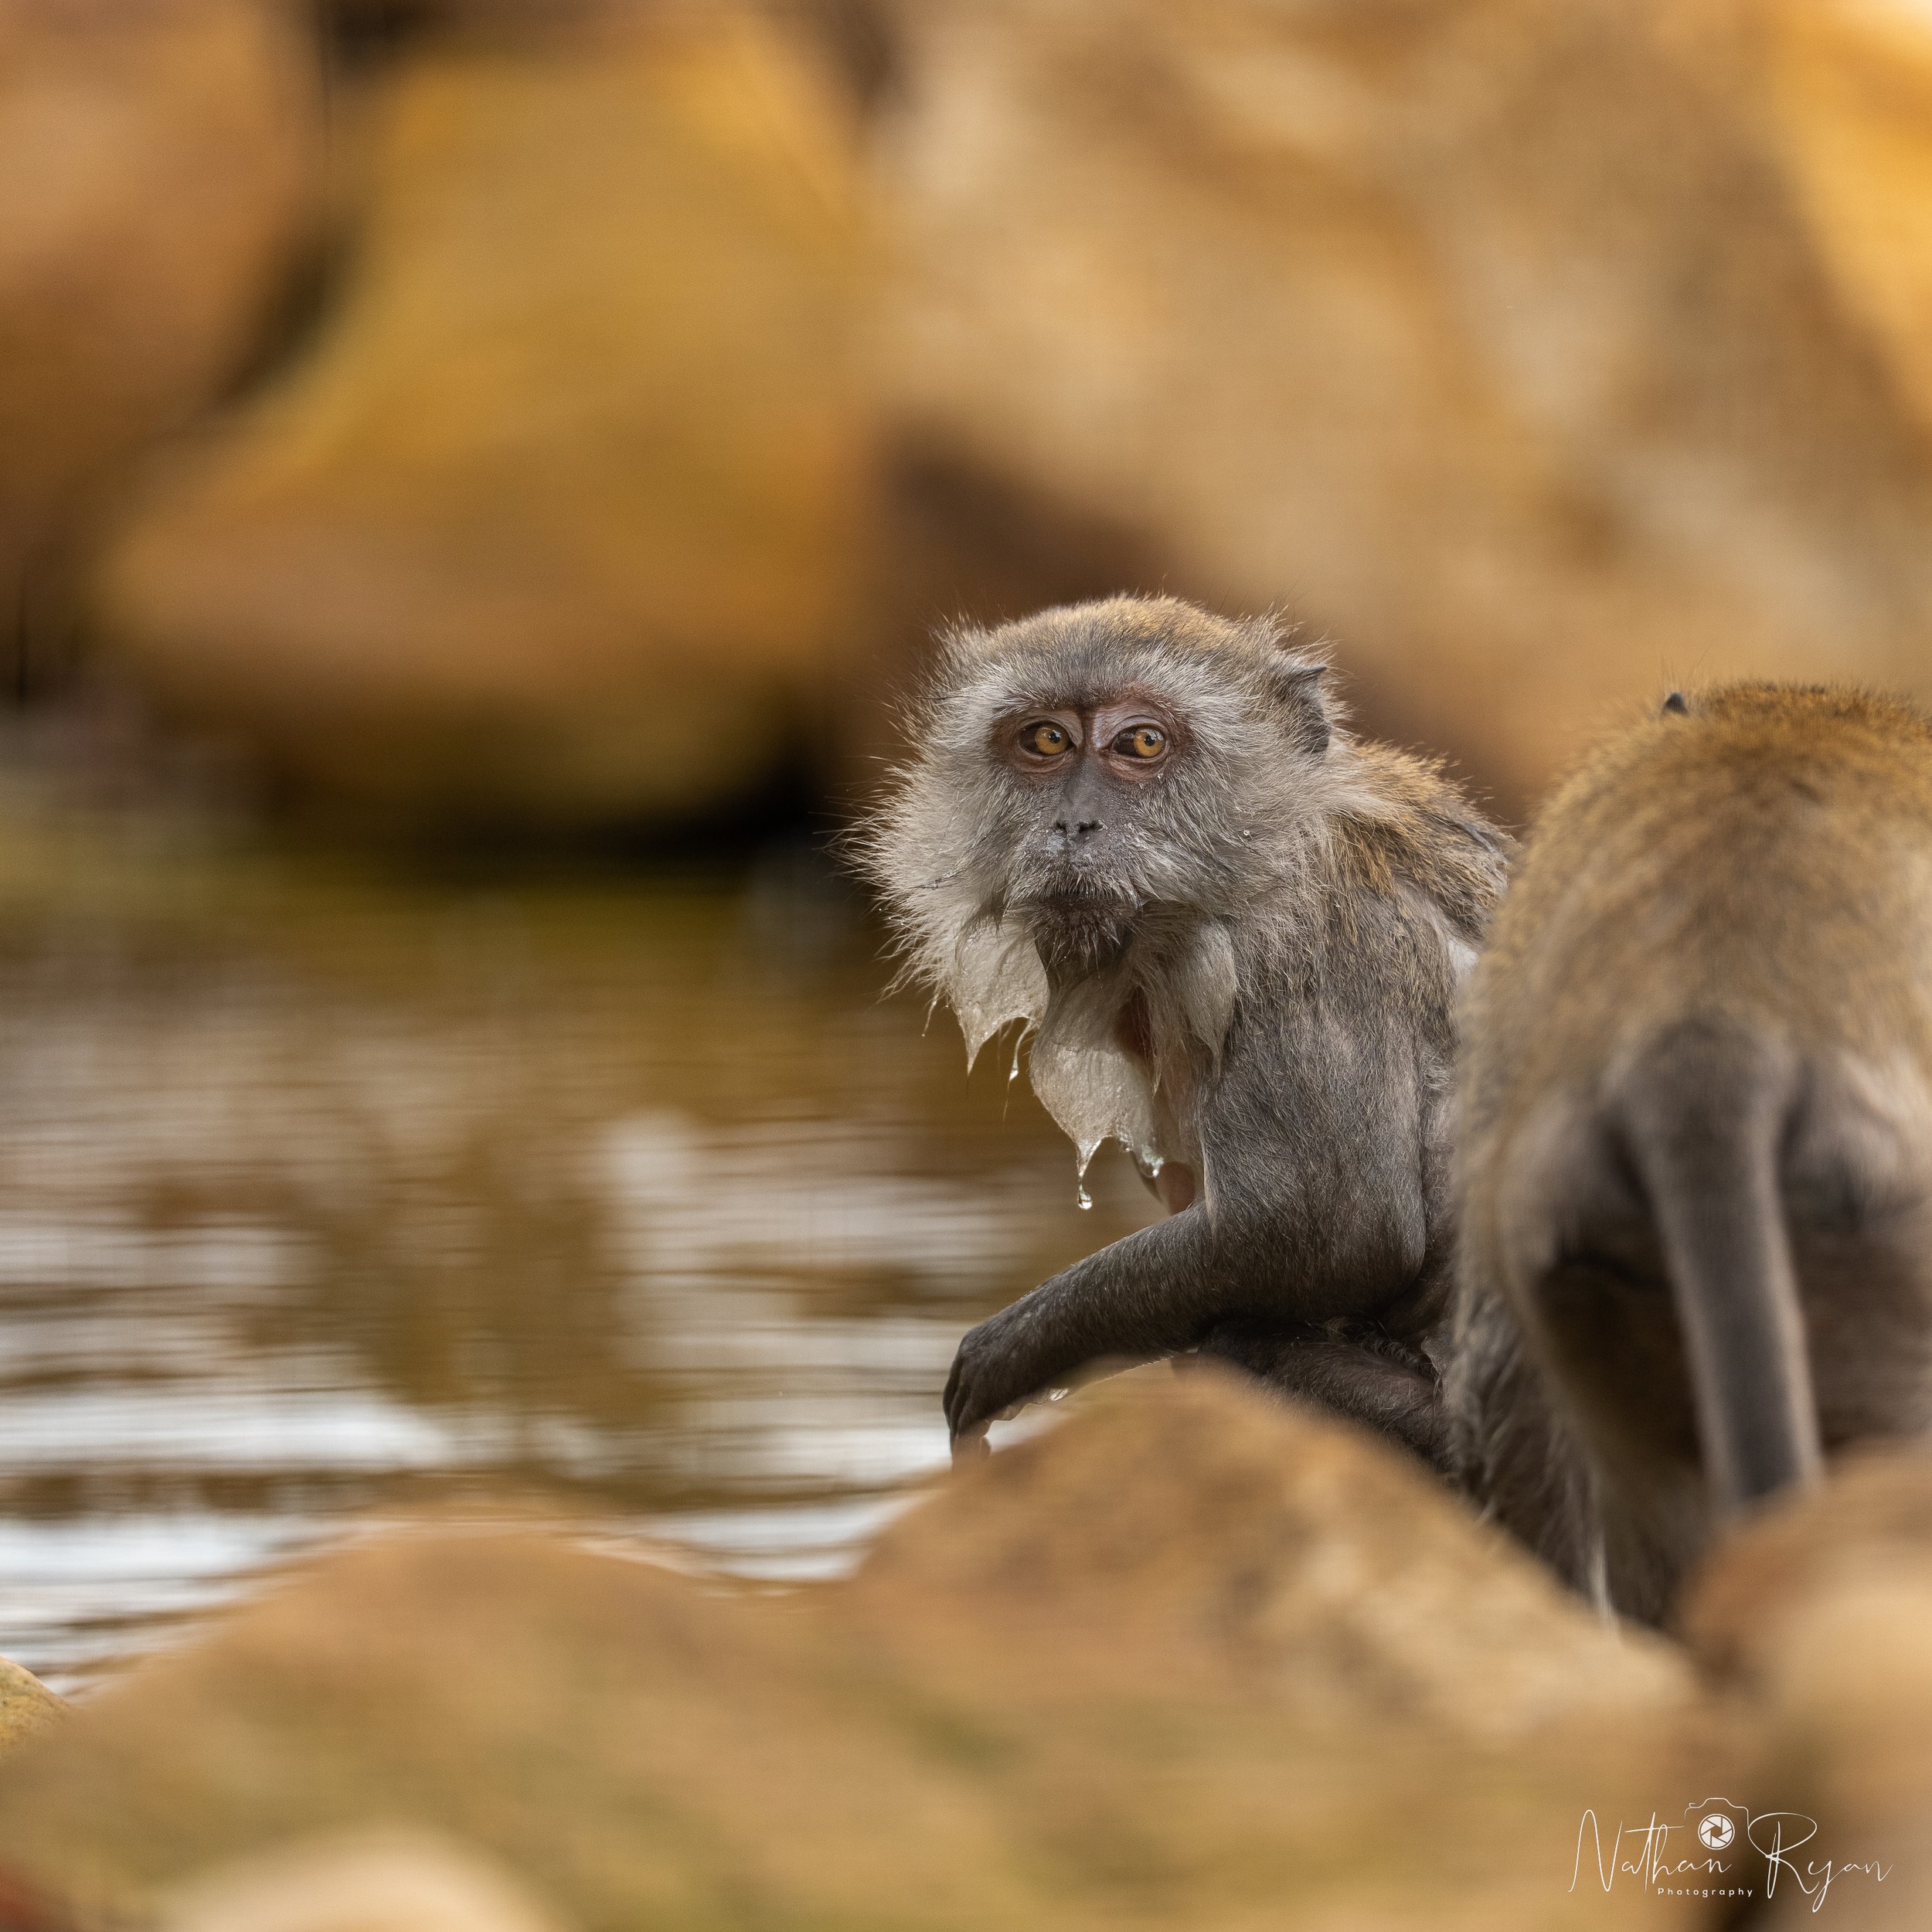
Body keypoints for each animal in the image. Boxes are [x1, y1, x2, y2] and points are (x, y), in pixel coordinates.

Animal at [851, 594, 1510, 1458]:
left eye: (1142, 743)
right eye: (1046, 740)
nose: (1073, 825)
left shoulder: (1302, 942)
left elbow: (1331, 1226)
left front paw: (1010, 1353)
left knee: (1232, 1348)